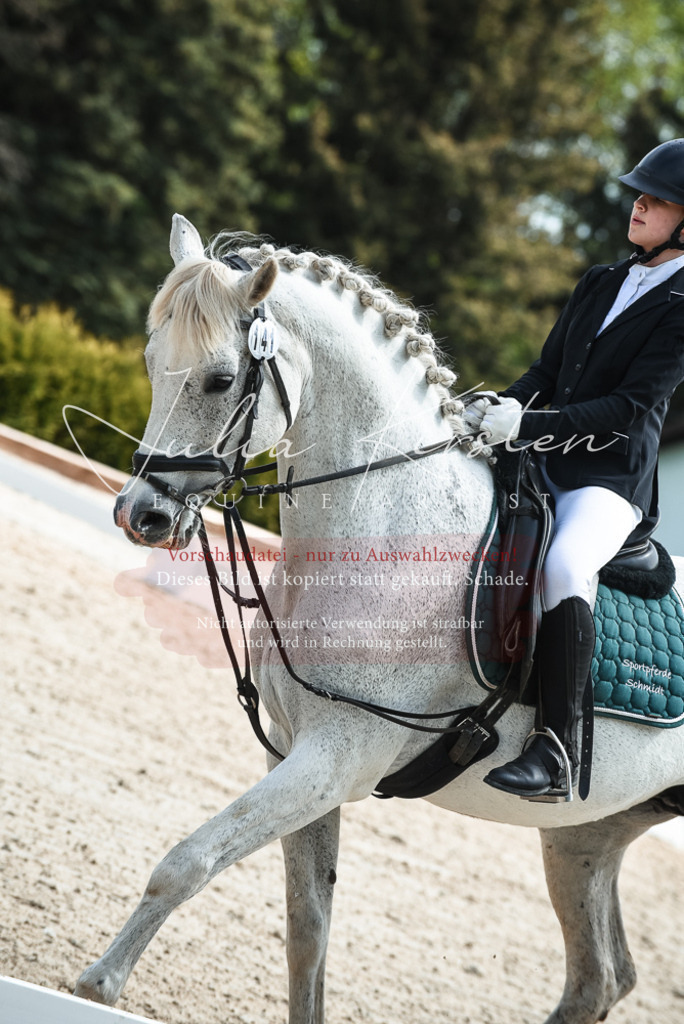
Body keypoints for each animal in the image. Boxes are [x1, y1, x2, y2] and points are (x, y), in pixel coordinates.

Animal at [75, 214, 684, 1024]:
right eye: (152, 362)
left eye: (219, 379)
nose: (139, 516)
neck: (388, 525)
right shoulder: (293, 752)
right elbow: (308, 930)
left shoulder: (339, 757)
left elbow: (188, 861)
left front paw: (98, 984)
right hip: (589, 833)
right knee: (600, 976)